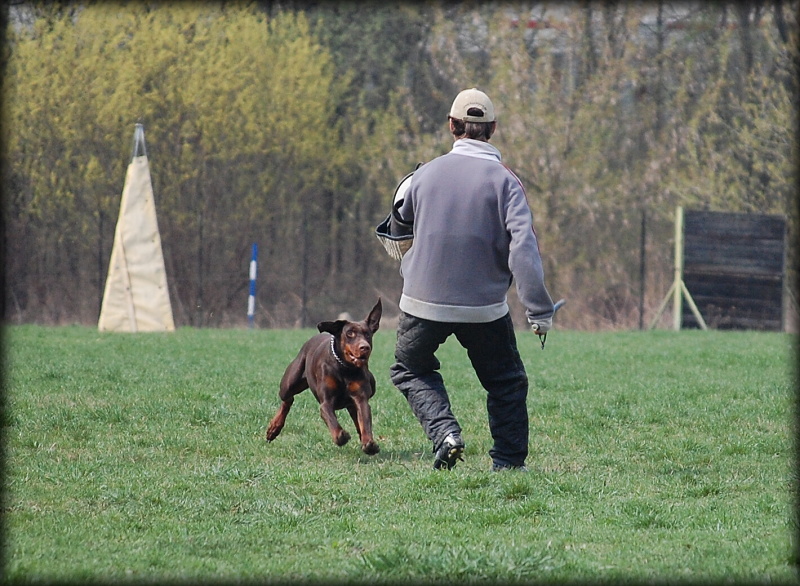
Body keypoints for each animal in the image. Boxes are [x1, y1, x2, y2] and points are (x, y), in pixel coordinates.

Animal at [266, 298, 384, 454]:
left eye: (368, 334)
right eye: (350, 333)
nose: (365, 347)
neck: (344, 368)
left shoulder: (361, 397)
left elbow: (364, 419)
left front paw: (369, 443)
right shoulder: (326, 401)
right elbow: (331, 418)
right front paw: (341, 436)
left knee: (356, 416)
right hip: (289, 383)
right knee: (287, 399)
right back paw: (274, 428)